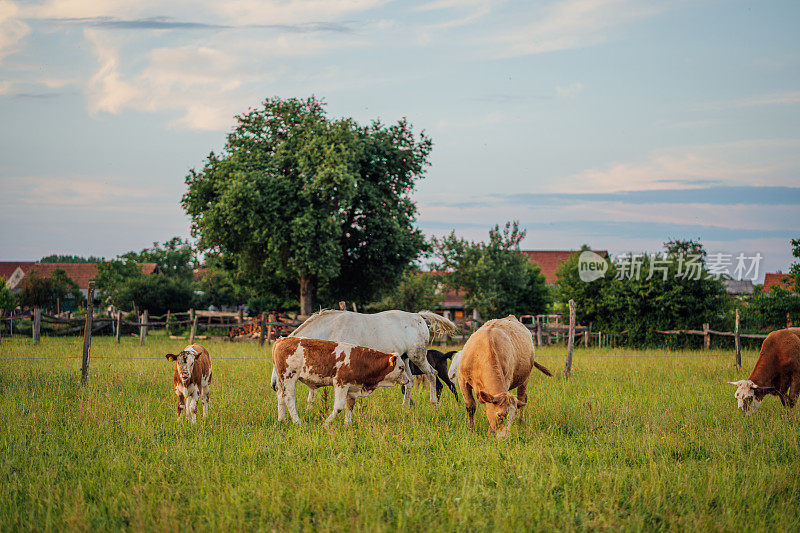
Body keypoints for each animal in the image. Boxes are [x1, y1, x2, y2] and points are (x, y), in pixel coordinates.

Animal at [270, 308, 454, 404]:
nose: (274, 385)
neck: (332, 329)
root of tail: (418, 316)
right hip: (405, 359)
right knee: (409, 382)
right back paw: (406, 407)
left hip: (418, 356)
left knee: (432, 375)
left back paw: (433, 403)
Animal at [272, 336, 410, 428]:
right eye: (401, 367)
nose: (408, 380)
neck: (362, 361)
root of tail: (282, 339)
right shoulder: (341, 383)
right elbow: (339, 406)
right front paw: (326, 424)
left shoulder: (353, 388)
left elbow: (350, 406)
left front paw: (347, 424)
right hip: (289, 377)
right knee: (289, 399)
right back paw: (297, 422)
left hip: (281, 380)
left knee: (280, 397)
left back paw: (281, 420)